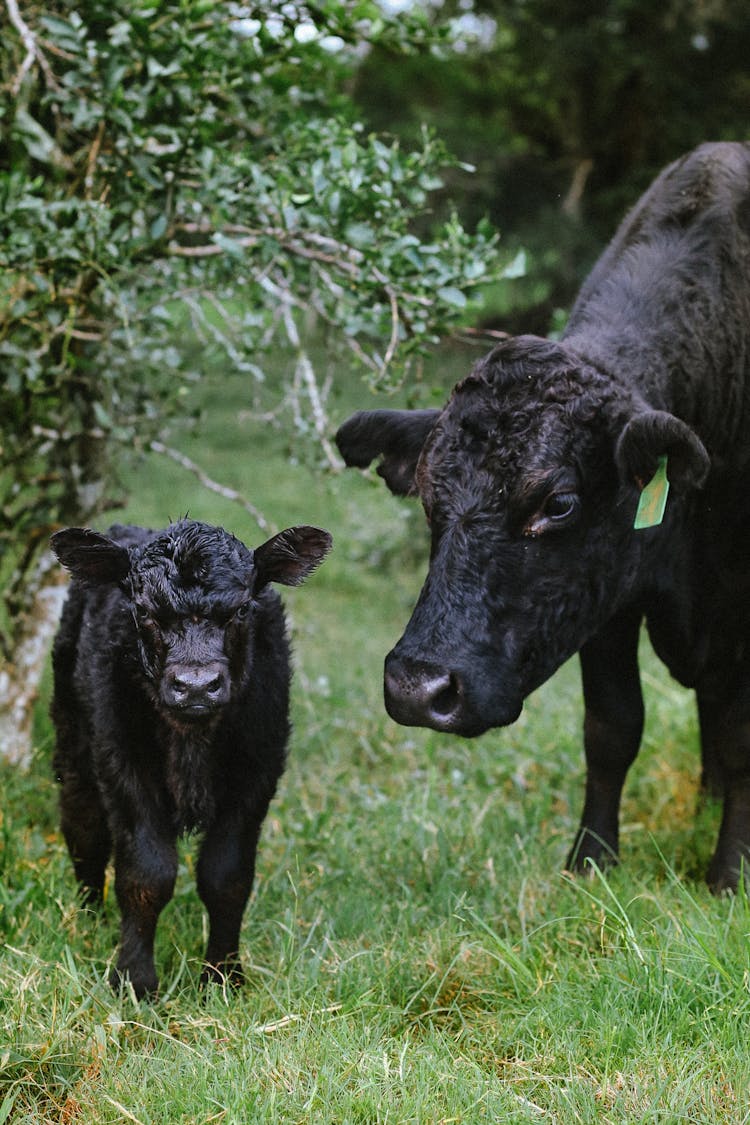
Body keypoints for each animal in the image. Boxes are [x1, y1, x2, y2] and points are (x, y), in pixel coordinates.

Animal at [50, 517, 330, 994]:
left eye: (242, 610)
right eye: (144, 611)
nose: (196, 685)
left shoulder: (257, 774)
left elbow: (226, 878)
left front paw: (223, 978)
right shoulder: (122, 766)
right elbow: (147, 873)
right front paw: (135, 980)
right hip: (75, 742)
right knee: (84, 827)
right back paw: (90, 918)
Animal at [337, 140, 750, 891]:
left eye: (557, 502)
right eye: (427, 494)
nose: (416, 687)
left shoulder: (735, 605)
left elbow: (740, 740)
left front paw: (731, 873)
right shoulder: (607, 600)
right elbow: (613, 728)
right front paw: (590, 861)